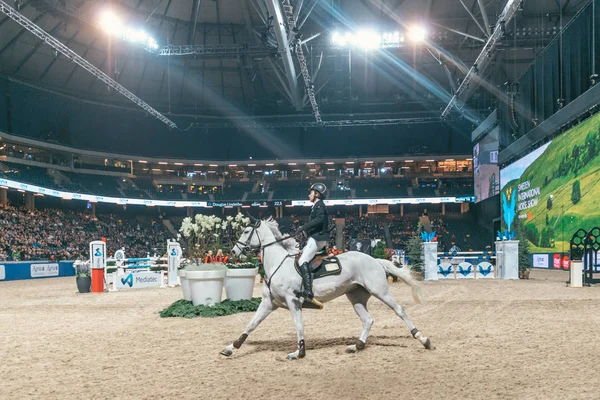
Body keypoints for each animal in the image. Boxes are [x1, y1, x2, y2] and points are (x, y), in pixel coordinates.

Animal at [219, 219, 432, 360]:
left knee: (399, 310)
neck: (278, 264)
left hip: (380, 291)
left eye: (246, 231)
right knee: (368, 320)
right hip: (356, 297)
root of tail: (374, 260)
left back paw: (423, 339)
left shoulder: (293, 302)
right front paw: (231, 348)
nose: (233, 251)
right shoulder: (268, 303)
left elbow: (299, 326)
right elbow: (250, 325)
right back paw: (357, 346)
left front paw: (299, 352)